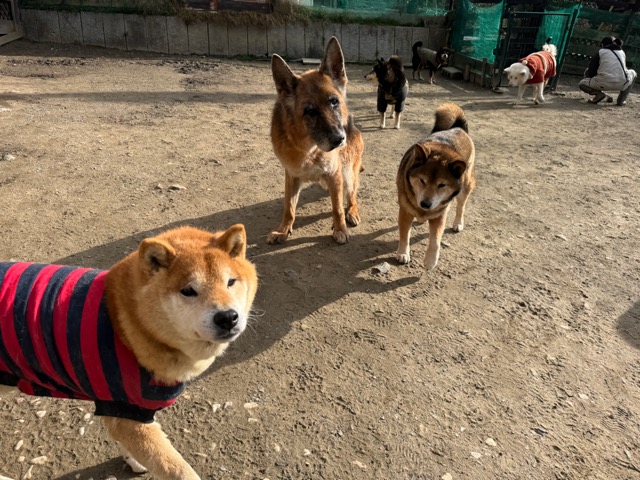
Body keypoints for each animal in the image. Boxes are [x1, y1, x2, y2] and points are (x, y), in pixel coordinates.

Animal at [0, 225, 258, 480]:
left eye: (231, 282)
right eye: (188, 291)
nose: (227, 317)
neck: (126, 322)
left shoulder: (125, 413)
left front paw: (133, 460)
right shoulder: (127, 411)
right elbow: (179, 471)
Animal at [269, 36, 364, 245]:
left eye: (334, 101)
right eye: (310, 111)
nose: (340, 139)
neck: (309, 150)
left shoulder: (335, 175)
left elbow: (337, 208)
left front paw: (340, 229)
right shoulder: (291, 177)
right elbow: (288, 208)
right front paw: (283, 229)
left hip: (348, 174)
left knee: (351, 197)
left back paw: (352, 212)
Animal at [396, 103, 475, 270]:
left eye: (442, 185)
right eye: (422, 180)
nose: (426, 204)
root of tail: (459, 127)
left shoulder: (439, 215)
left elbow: (436, 239)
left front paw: (430, 260)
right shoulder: (405, 211)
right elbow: (404, 234)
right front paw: (403, 253)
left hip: (465, 187)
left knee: (461, 206)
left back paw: (458, 223)